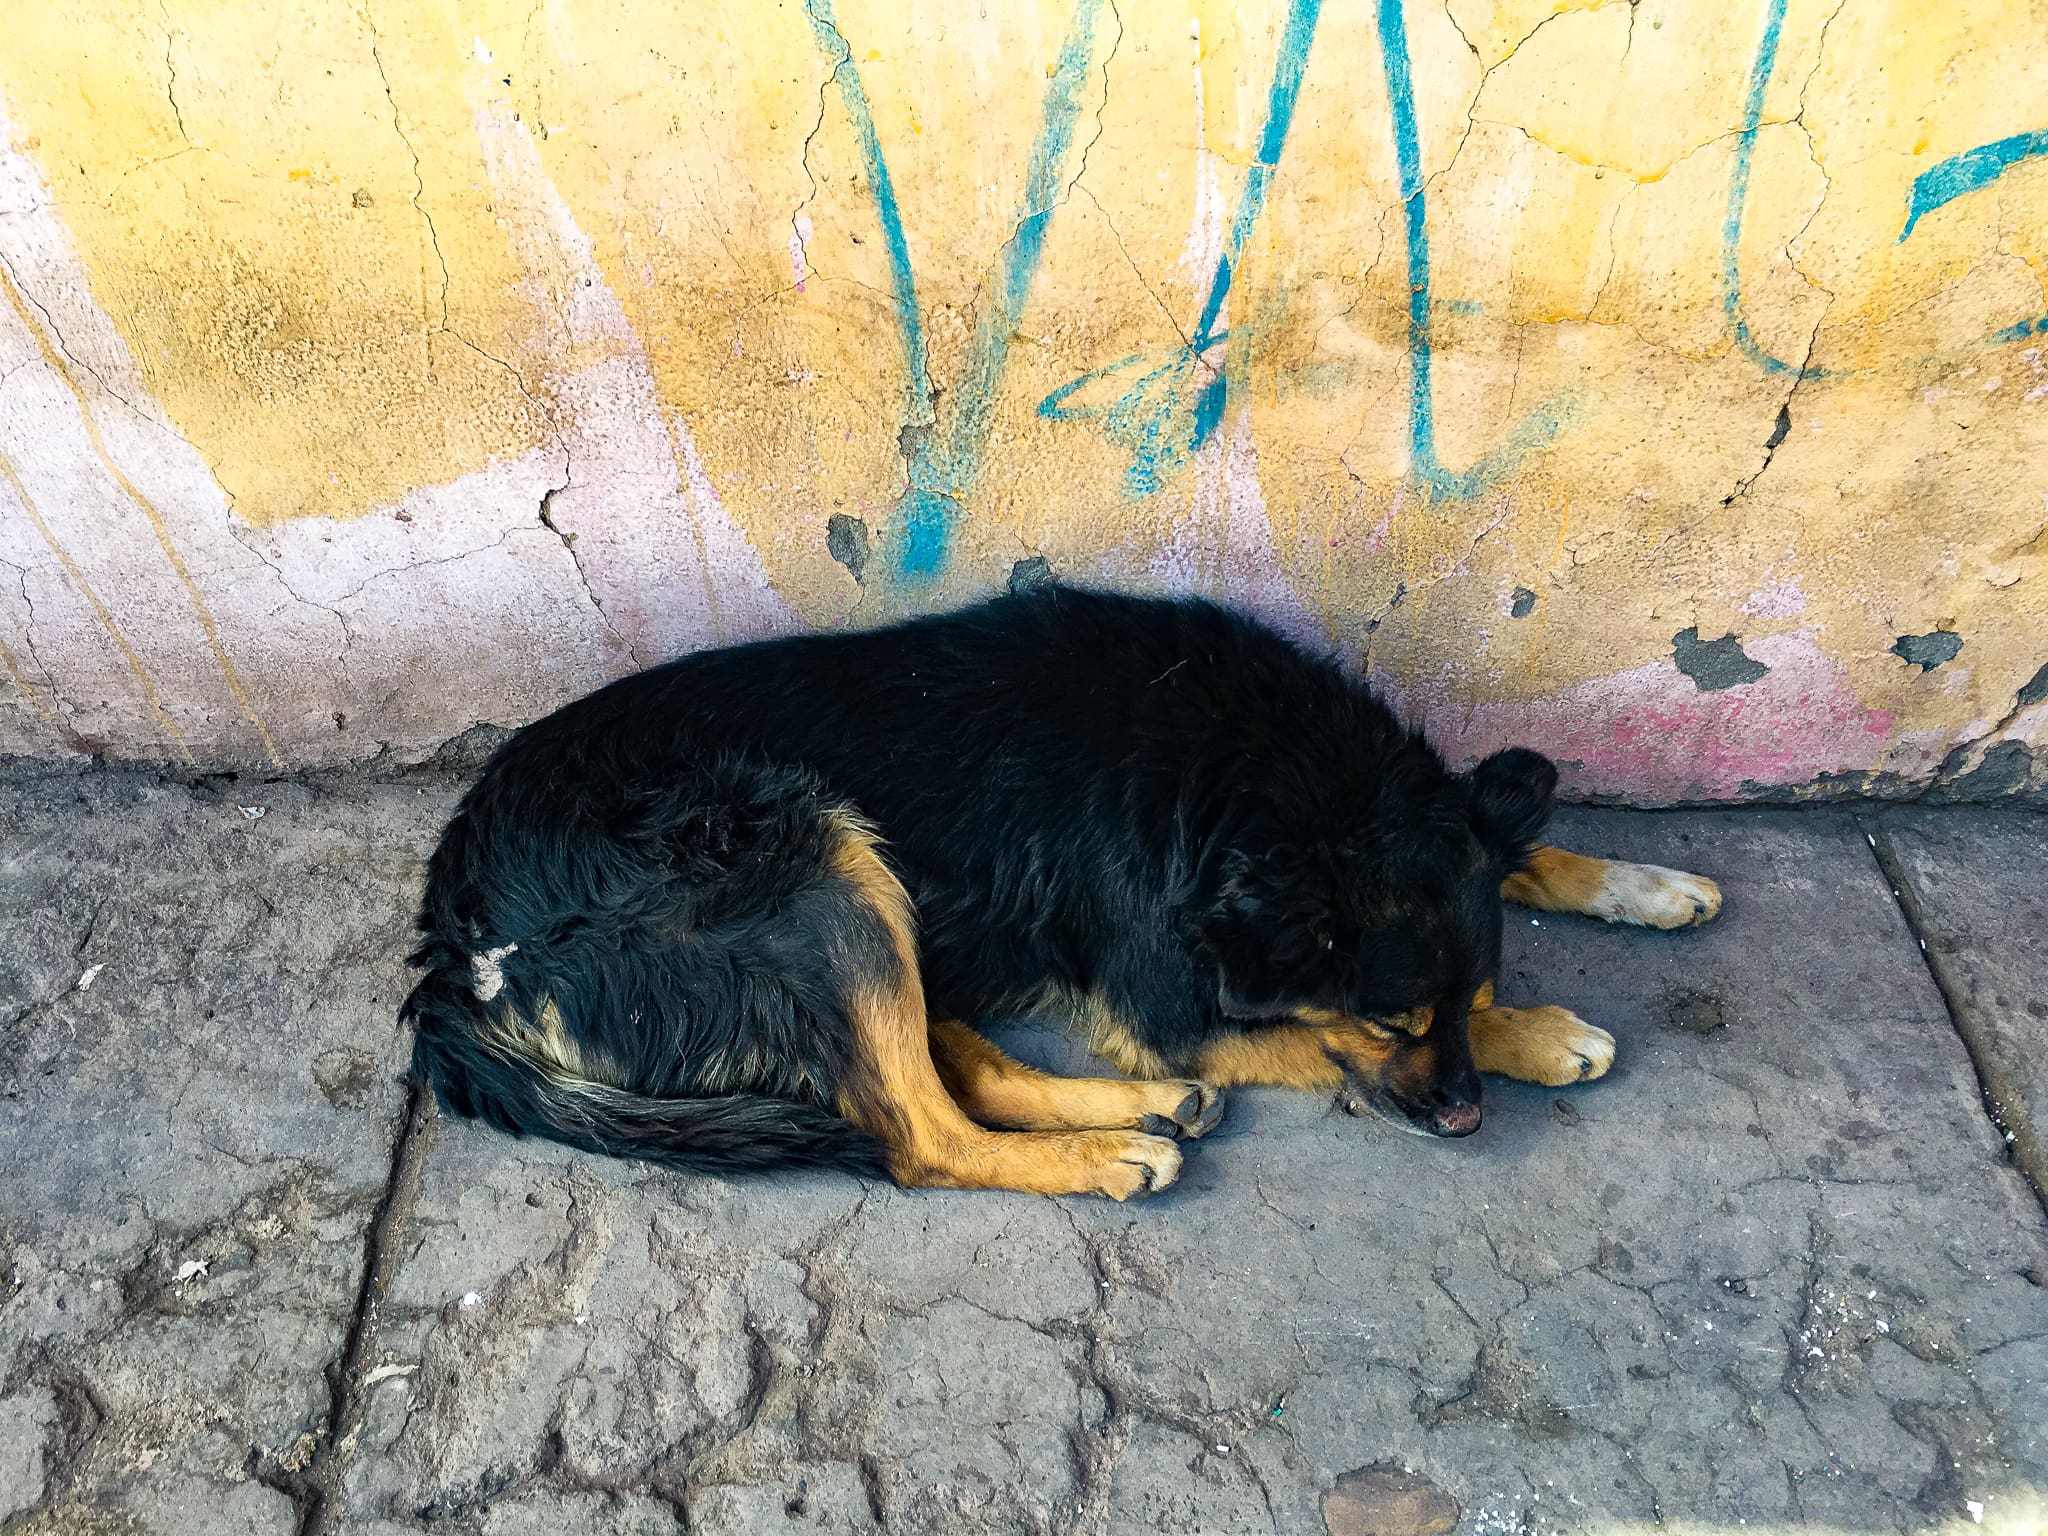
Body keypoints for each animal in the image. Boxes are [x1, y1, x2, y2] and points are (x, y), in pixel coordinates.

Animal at [399, 581, 1712, 1196]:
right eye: (1388, 1022)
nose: (1462, 1124)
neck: (1255, 770)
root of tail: (451, 949)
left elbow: (1509, 847)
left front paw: (1643, 882)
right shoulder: (1167, 1001)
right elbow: (1299, 1035)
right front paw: (1542, 1033)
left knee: (954, 1069)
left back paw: (1140, 1114)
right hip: (804, 860)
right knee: (919, 1135)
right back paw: (1107, 1154)